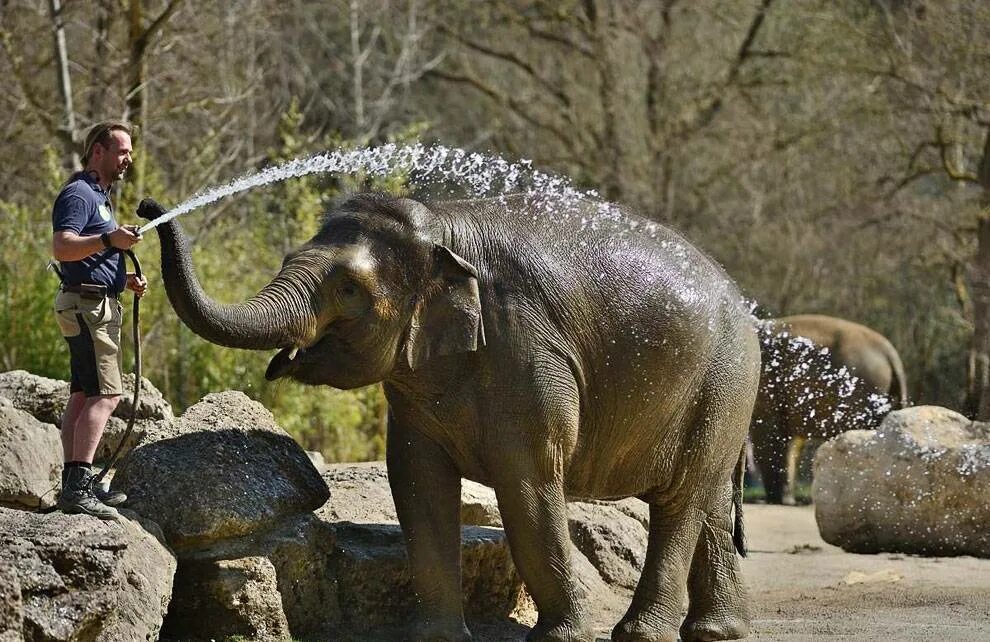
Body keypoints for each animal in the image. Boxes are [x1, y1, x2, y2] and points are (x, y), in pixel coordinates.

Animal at [138, 191, 760, 640]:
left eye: (348, 288)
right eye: (289, 260)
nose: (145, 208)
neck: (443, 229)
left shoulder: (528, 355)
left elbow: (528, 485)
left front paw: (560, 639)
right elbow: (418, 482)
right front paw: (434, 638)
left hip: (723, 382)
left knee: (681, 500)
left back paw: (641, 635)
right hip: (723, 398)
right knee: (706, 502)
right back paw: (716, 633)